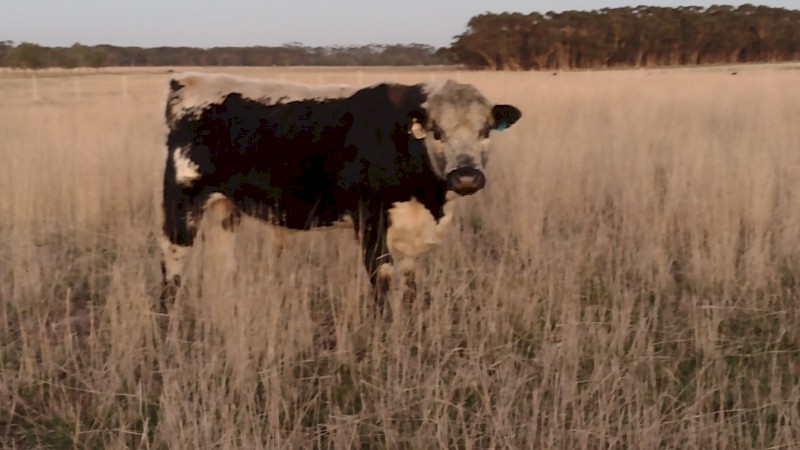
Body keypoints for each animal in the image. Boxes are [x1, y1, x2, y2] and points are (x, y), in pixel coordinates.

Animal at [159, 72, 521, 314]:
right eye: (437, 132)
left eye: (485, 131)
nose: (466, 177)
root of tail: (188, 80)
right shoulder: (370, 217)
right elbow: (382, 277)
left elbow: (410, 283)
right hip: (181, 201)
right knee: (172, 266)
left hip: (224, 207)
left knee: (224, 262)